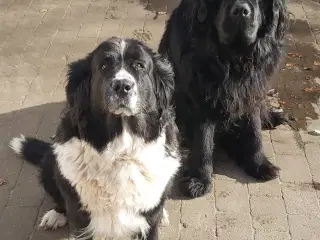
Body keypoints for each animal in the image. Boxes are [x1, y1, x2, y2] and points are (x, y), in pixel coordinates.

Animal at [10, 36, 180, 239]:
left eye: (139, 65)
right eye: (104, 66)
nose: (122, 86)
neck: (120, 150)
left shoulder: (147, 222)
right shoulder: (80, 219)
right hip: (51, 163)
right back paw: (55, 215)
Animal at [159, 0, 288, 199]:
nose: (241, 11)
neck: (232, 59)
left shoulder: (251, 92)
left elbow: (254, 130)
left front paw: (259, 164)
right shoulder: (199, 97)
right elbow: (203, 140)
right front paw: (199, 180)